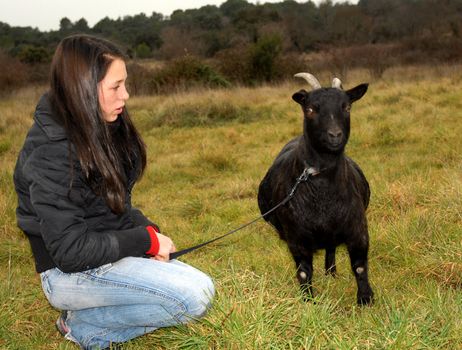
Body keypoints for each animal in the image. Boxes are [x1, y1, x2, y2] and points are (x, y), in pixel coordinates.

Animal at [258, 72, 374, 304]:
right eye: (310, 109)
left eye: (347, 107)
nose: (335, 135)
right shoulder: (296, 238)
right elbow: (304, 271)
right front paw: (308, 300)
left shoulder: (357, 228)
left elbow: (359, 266)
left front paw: (365, 298)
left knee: (331, 248)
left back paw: (331, 272)